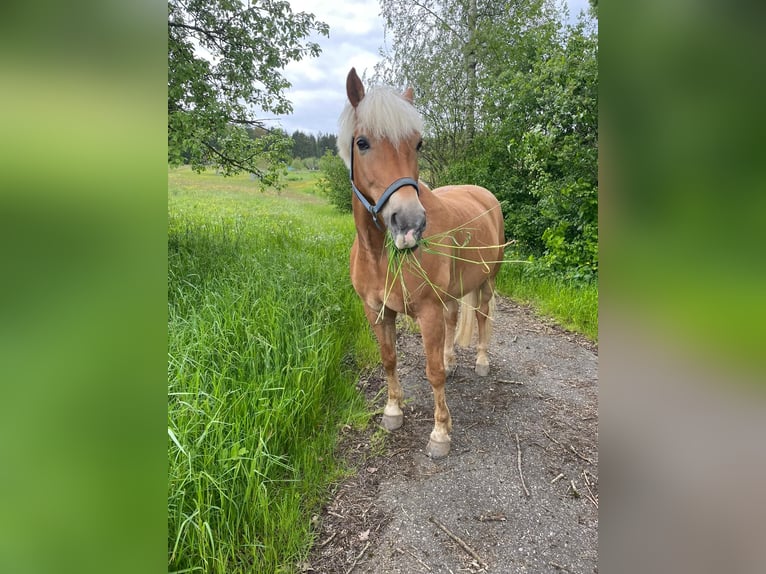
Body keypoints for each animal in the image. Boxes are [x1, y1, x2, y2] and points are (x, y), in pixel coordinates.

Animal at [338, 68, 505, 458]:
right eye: (362, 143)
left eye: (418, 144)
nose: (410, 223)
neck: (379, 255)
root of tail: (484, 195)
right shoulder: (377, 311)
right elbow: (389, 359)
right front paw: (393, 411)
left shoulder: (427, 311)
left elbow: (433, 373)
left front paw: (441, 433)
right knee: (455, 317)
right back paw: (453, 359)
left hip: (487, 282)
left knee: (481, 316)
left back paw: (481, 362)